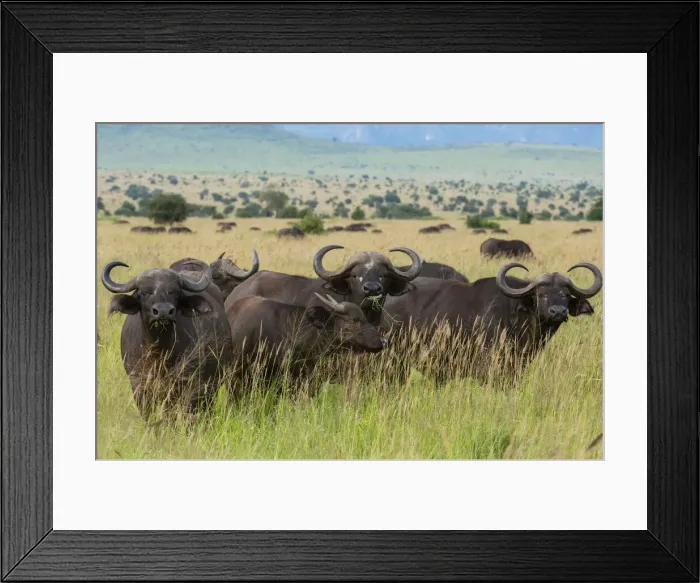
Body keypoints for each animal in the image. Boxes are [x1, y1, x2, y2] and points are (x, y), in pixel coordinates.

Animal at [101, 260, 233, 418]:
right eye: (144, 292)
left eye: (175, 292)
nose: (163, 311)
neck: (159, 353)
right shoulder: (138, 384)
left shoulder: (189, 384)